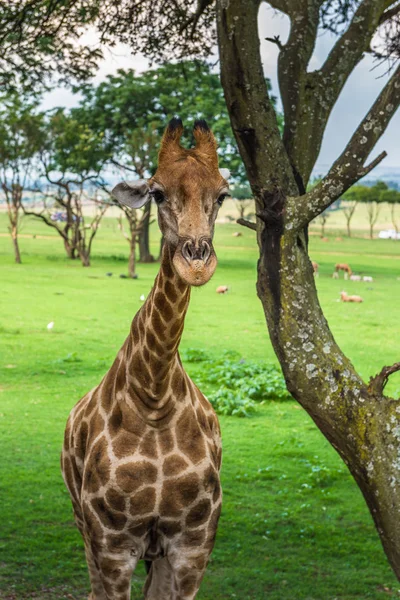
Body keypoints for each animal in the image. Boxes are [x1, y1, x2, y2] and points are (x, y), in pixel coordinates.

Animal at [60, 118, 230, 600]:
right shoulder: (113, 546)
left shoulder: (192, 546)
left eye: (223, 194)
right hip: (82, 526)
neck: (154, 395)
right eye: (156, 193)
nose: (197, 263)